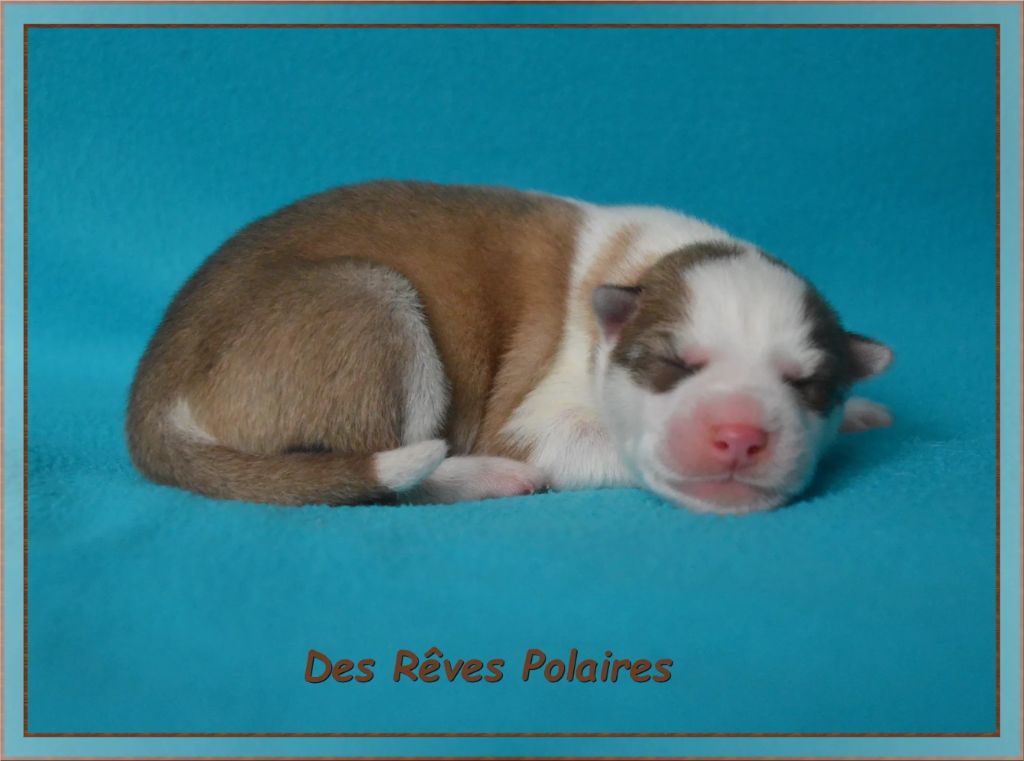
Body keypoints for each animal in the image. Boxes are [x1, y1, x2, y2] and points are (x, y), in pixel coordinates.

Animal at [126, 181, 893, 513]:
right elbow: (586, 441)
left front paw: (860, 414)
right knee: (391, 478)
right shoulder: (530, 419)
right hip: (374, 303)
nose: (739, 436)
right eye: (674, 364)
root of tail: (154, 395)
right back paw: (482, 477)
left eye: (807, 385)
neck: (644, 269)